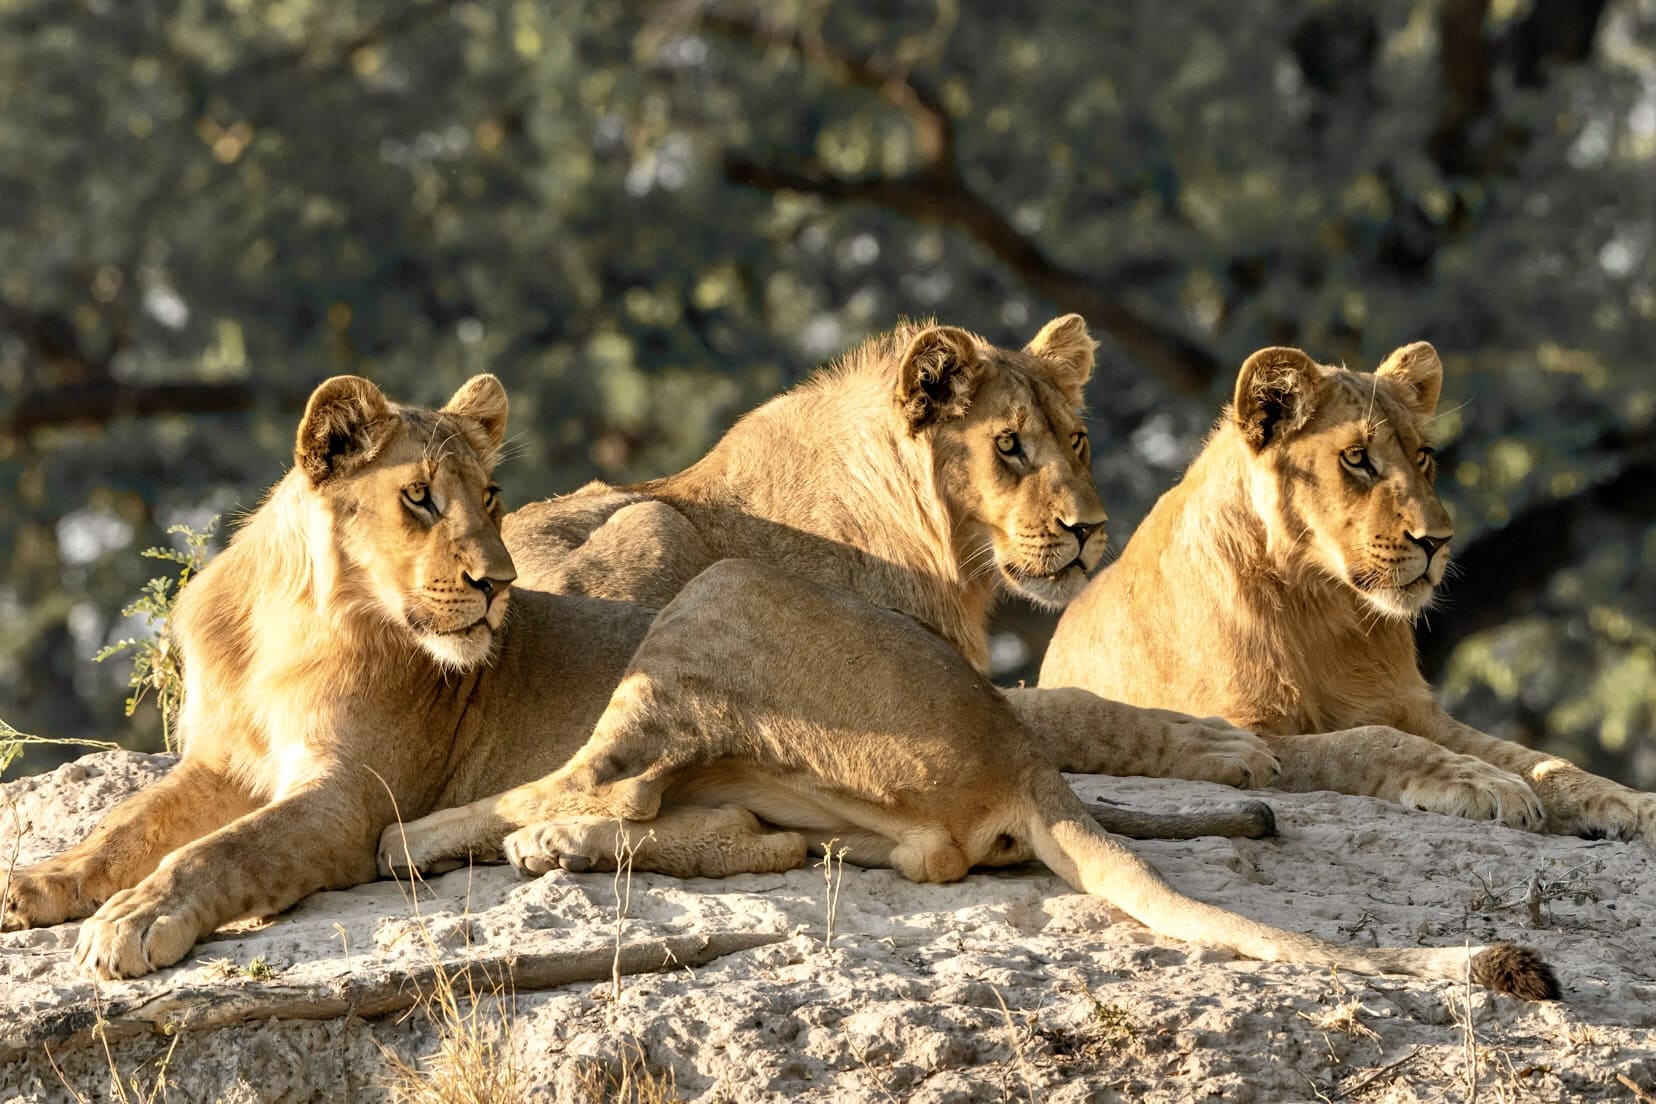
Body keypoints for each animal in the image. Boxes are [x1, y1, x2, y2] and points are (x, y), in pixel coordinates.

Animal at [1046, 340, 1656, 840]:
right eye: (1357, 458)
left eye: (1422, 456)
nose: (1438, 541)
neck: (1320, 604)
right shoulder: (1243, 733)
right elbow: (1366, 743)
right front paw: (1483, 782)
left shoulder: (1414, 708)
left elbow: (1534, 757)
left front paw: (1631, 803)